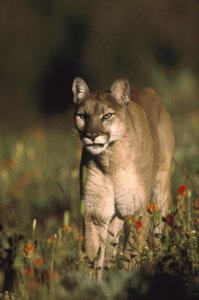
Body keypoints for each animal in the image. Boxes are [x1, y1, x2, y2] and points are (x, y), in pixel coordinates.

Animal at [71, 77, 174, 278]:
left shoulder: (137, 209)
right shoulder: (95, 214)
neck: (110, 162)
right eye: (83, 116)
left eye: (107, 116)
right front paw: (92, 283)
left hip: (161, 188)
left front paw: (129, 275)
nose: (91, 135)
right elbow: (94, 256)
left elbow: (131, 252)